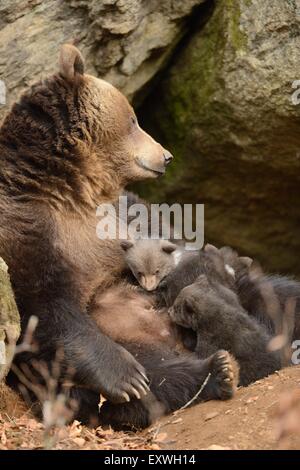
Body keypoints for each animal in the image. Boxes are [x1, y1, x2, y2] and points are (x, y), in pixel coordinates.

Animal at [0, 45, 237, 426]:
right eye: (134, 119)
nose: (166, 156)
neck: (70, 185)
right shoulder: (25, 226)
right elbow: (43, 305)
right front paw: (124, 376)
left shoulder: (121, 214)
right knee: (156, 379)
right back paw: (213, 372)